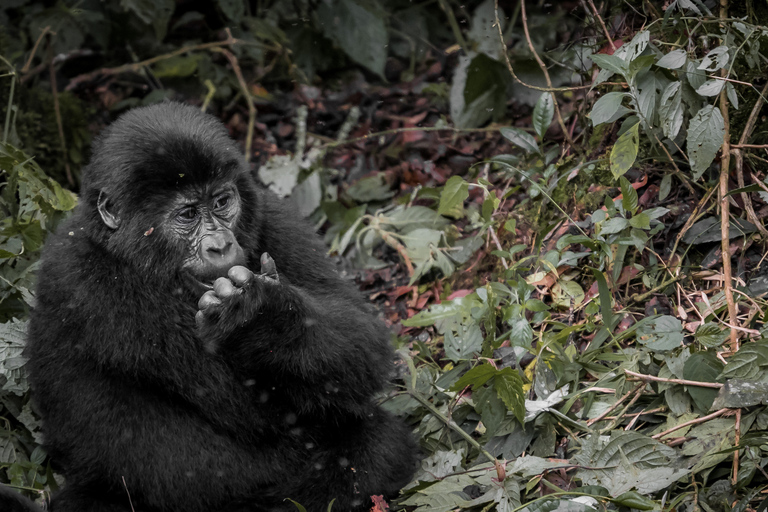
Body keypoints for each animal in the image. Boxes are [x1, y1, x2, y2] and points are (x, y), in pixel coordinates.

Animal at [4, 102, 420, 510]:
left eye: (222, 202)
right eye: (188, 214)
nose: (221, 245)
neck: (126, 253)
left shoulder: (271, 214)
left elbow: (360, 342)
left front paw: (265, 318)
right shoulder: (88, 283)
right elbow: (248, 409)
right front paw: (256, 319)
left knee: (379, 446)